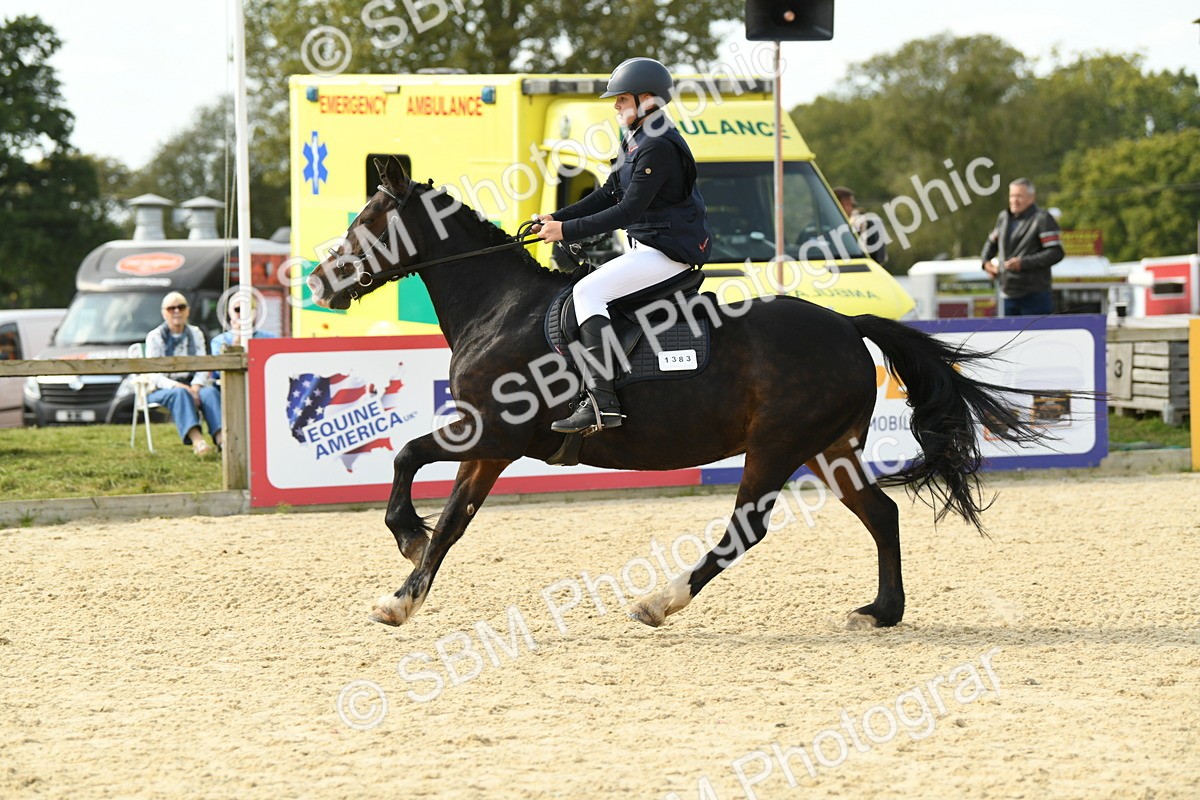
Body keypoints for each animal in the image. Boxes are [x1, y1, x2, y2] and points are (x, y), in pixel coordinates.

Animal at [307, 155, 1046, 630]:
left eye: (370, 221)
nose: (318, 282)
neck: (502, 307)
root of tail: (844, 324)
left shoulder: (493, 431)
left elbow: (406, 456)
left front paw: (405, 540)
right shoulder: (487, 448)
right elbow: (454, 523)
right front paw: (404, 595)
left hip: (777, 447)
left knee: (745, 530)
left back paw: (659, 602)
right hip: (827, 449)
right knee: (882, 514)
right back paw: (883, 612)